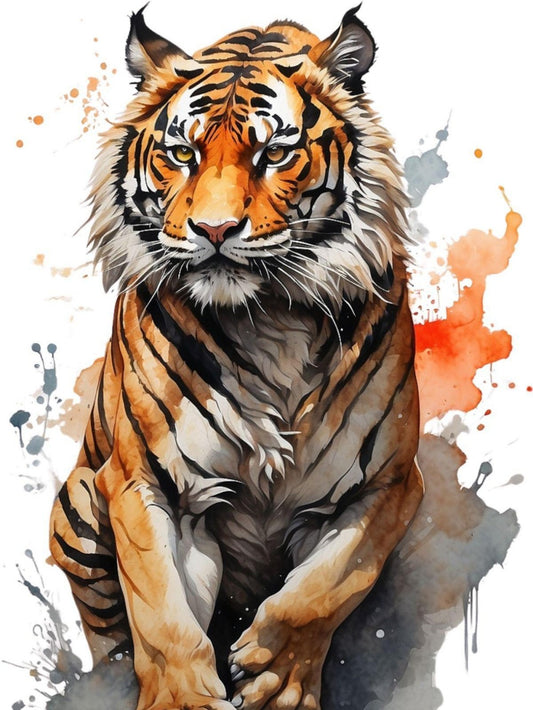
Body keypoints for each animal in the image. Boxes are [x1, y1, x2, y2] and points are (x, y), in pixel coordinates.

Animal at [49, 6, 424, 710]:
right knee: (110, 633)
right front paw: (182, 696)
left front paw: (277, 679)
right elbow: (162, 616)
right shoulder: (146, 485)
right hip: (80, 503)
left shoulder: (386, 487)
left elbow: (326, 587)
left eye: (273, 153)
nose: (214, 230)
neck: (268, 318)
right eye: (182, 155)